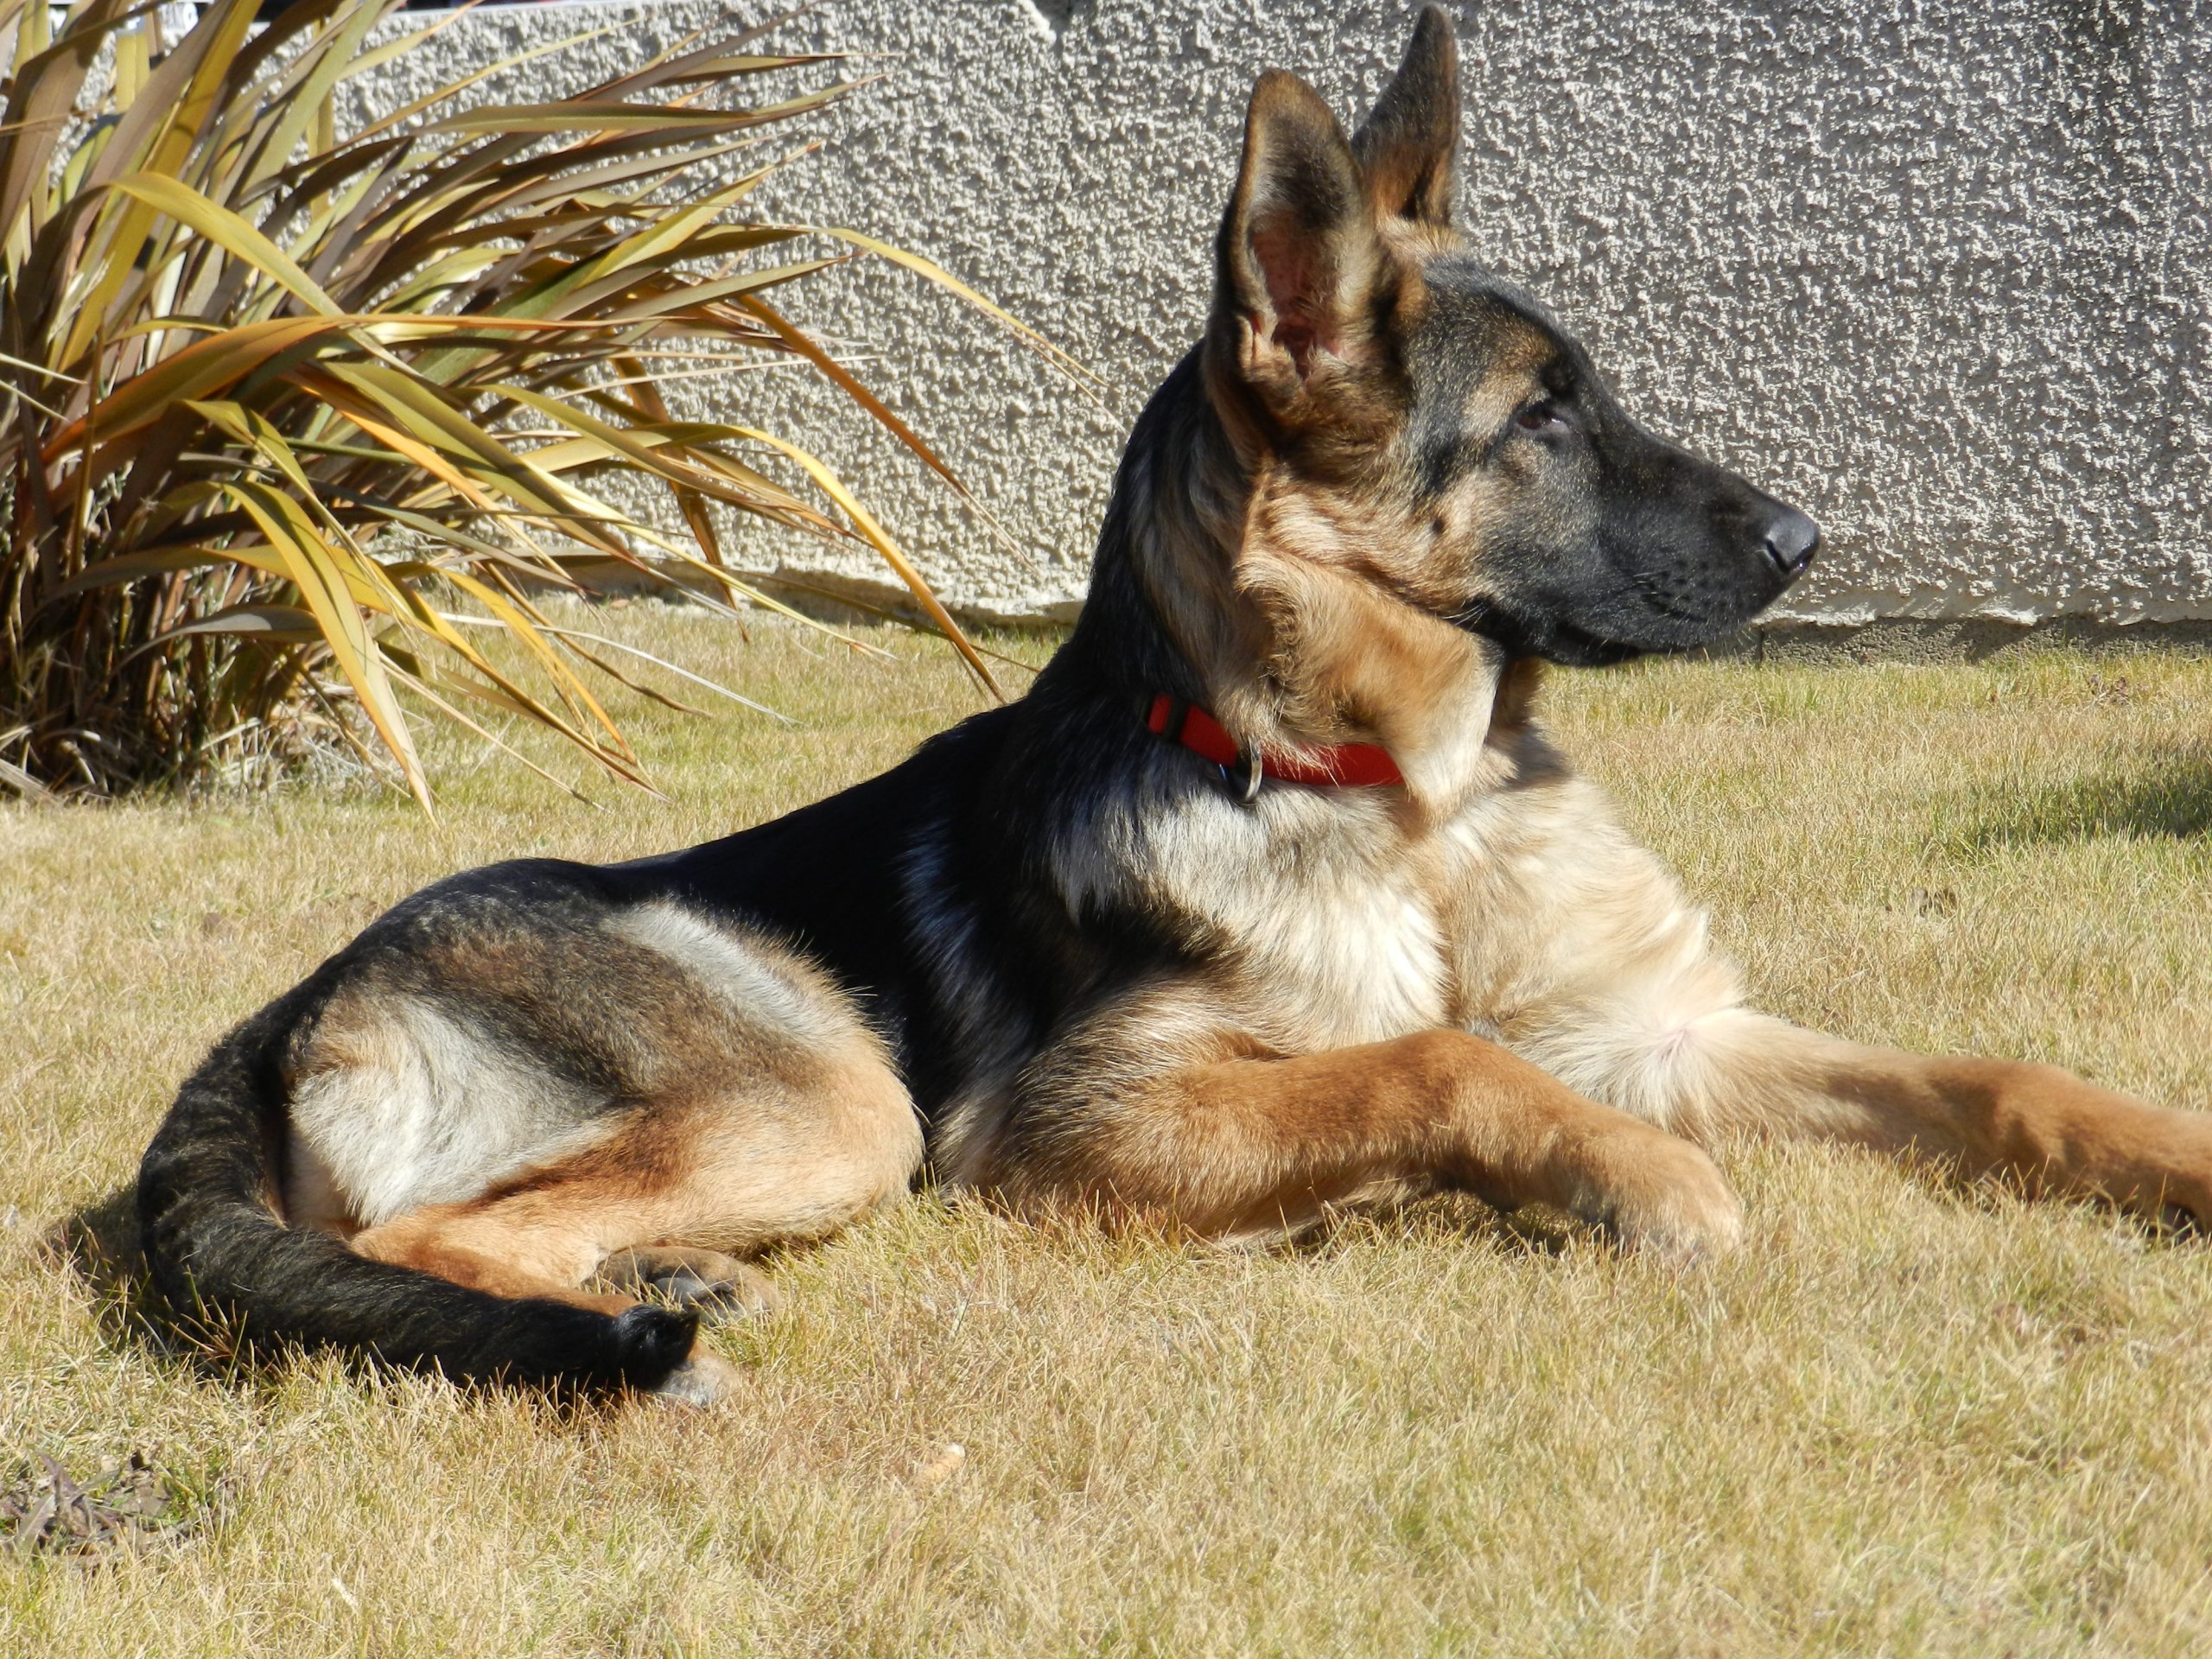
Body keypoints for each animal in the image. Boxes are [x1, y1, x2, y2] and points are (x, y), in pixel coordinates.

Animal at [133, 13, 2212, 1407]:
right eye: (1540, 420)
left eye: (1590, 395)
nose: (1803, 541)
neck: (1399, 801)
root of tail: (296, 997)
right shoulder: (1073, 1127)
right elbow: (1439, 1061)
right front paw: (1624, 1176)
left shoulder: (1662, 1027)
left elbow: (1996, 1079)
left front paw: (2173, 1158)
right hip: (838, 1098)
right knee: (416, 1243)